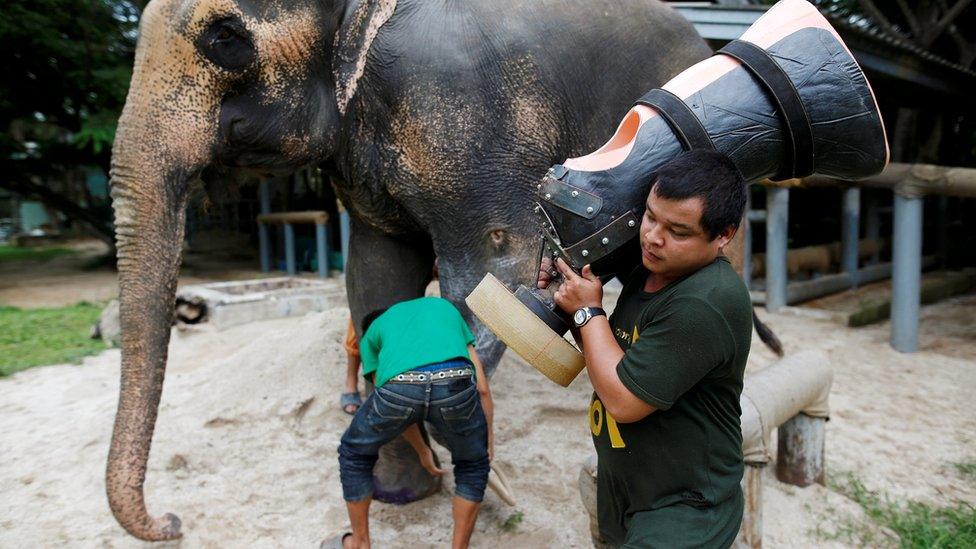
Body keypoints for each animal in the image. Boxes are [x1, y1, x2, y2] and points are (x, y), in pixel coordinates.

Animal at [107, 0, 716, 540]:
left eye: (225, 37)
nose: (172, 522)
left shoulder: (466, 118)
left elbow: (497, 259)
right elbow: (375, 273)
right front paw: (402, 492)